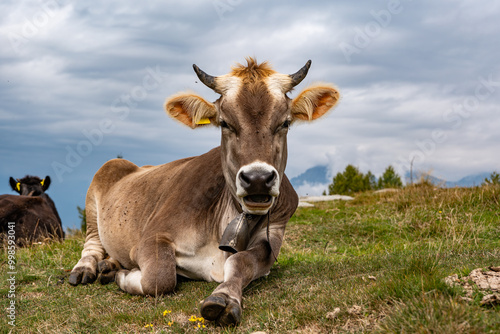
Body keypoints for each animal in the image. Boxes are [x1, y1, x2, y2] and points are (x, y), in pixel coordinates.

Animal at [68, 58, 338, 326]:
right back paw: (87, 269)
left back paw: (110, 265)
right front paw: (123, 275)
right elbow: (159, 277)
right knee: (92, 244)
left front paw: (225, 297)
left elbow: (241, 261)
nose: (258, 179)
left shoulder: (273, 237)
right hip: (99, 188)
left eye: (285, 122)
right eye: (225, 123)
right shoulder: (152, 236)